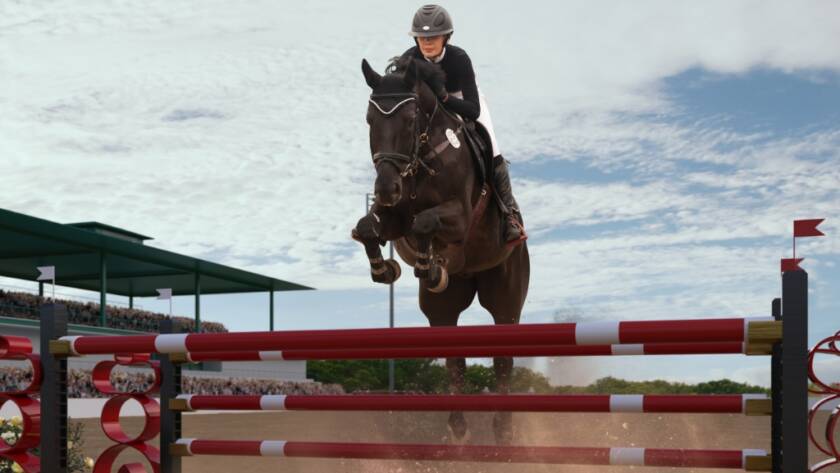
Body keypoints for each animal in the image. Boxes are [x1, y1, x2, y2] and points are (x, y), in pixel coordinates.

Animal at [354, 55, 532, 442]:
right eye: (370, 120)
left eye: (409, 120)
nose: (386, 188)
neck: (421, 159)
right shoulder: (393, 217)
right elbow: (366, 227)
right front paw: (385, 268)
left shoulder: (461, 215)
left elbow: (424, 222)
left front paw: (429, 264)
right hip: (442, 308)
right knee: (454, 358)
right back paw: (458, 428)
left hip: (506, 298)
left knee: (503, 360)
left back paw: (502, 429)